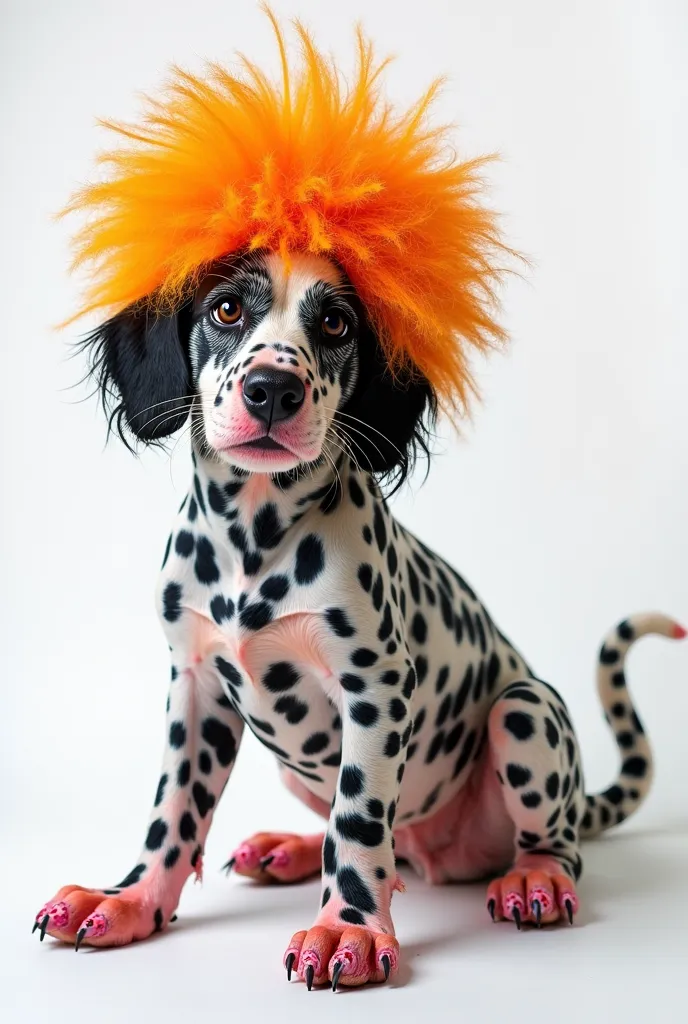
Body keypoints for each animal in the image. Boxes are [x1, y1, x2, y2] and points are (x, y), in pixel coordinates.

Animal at [30, 243, 683, 987]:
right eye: (226, 308)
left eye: (336, 323)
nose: (272, 389)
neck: (252, 541)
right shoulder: (194, 687)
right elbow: (172, 814)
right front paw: (130, 899)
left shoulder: (374, 686)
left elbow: (359, 820)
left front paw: (349, 928)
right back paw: (288, 847)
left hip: (525, 709)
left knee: (545, 840)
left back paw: (535, 877)